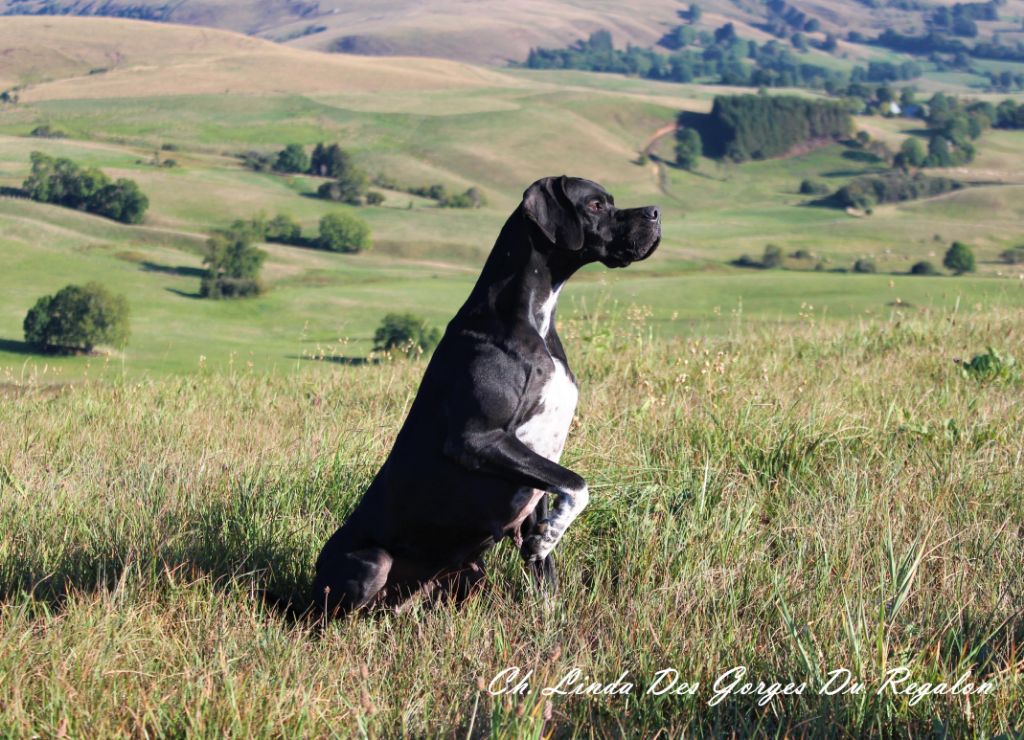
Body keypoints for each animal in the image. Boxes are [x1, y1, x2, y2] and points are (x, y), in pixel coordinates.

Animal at [313, 175, 663, 614]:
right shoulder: (478, 439)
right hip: (373, 562)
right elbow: (577, 484)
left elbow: (546, 569)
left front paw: (550, 608)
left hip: (469, 573)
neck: (532, 319)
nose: (655, 212)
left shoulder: (539, 470)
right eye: (596, 205)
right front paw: (551, 534)